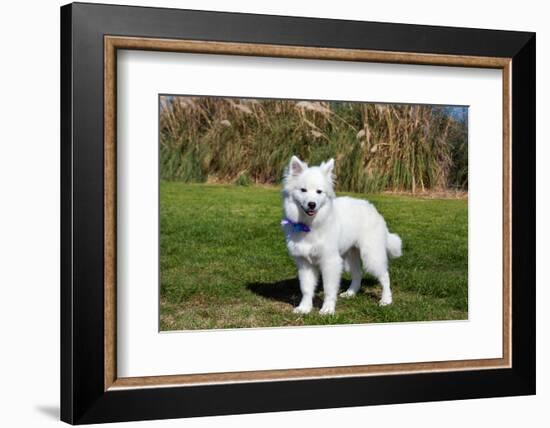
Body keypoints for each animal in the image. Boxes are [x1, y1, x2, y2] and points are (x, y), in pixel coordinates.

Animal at [282, 155, 404, 314]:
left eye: (319, 192)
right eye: (303, 190)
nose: (312, 204)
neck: (310, 225)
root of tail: (373, 209)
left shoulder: (330, 262)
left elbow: (329, 289)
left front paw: (327, 309)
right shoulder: (305, 263)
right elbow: (306, 289)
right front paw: (304, 308)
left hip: (371, 256)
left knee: (385, 276)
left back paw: (386, 300)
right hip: (350, 256)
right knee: (358, 274)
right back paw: (351, 293)